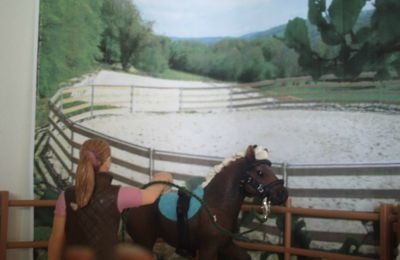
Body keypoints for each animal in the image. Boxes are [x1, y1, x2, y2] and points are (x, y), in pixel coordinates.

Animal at [126, 145, 286, 258]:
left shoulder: (226, 246)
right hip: (144, 242)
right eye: (260, 172)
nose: (283, 194)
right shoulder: (209, 248)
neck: (216, 206)